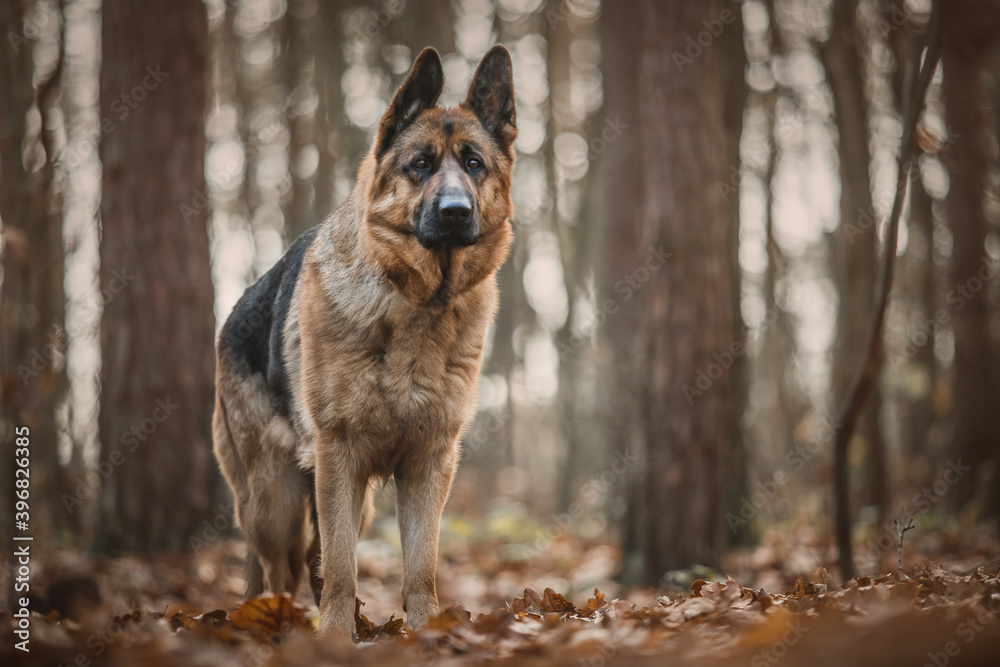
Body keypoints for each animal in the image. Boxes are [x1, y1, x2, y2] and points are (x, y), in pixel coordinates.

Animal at [216, 47, 520, 636]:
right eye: (420, 164)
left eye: (474, 164)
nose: (455, 212)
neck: (419, 304)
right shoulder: (339, 457)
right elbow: (340, 565)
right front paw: (335, 638)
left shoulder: (429, 464)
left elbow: (420, 565)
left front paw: (427, 633)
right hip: (274, 501)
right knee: (281, 568)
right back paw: (276, 622)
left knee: (308, 561)